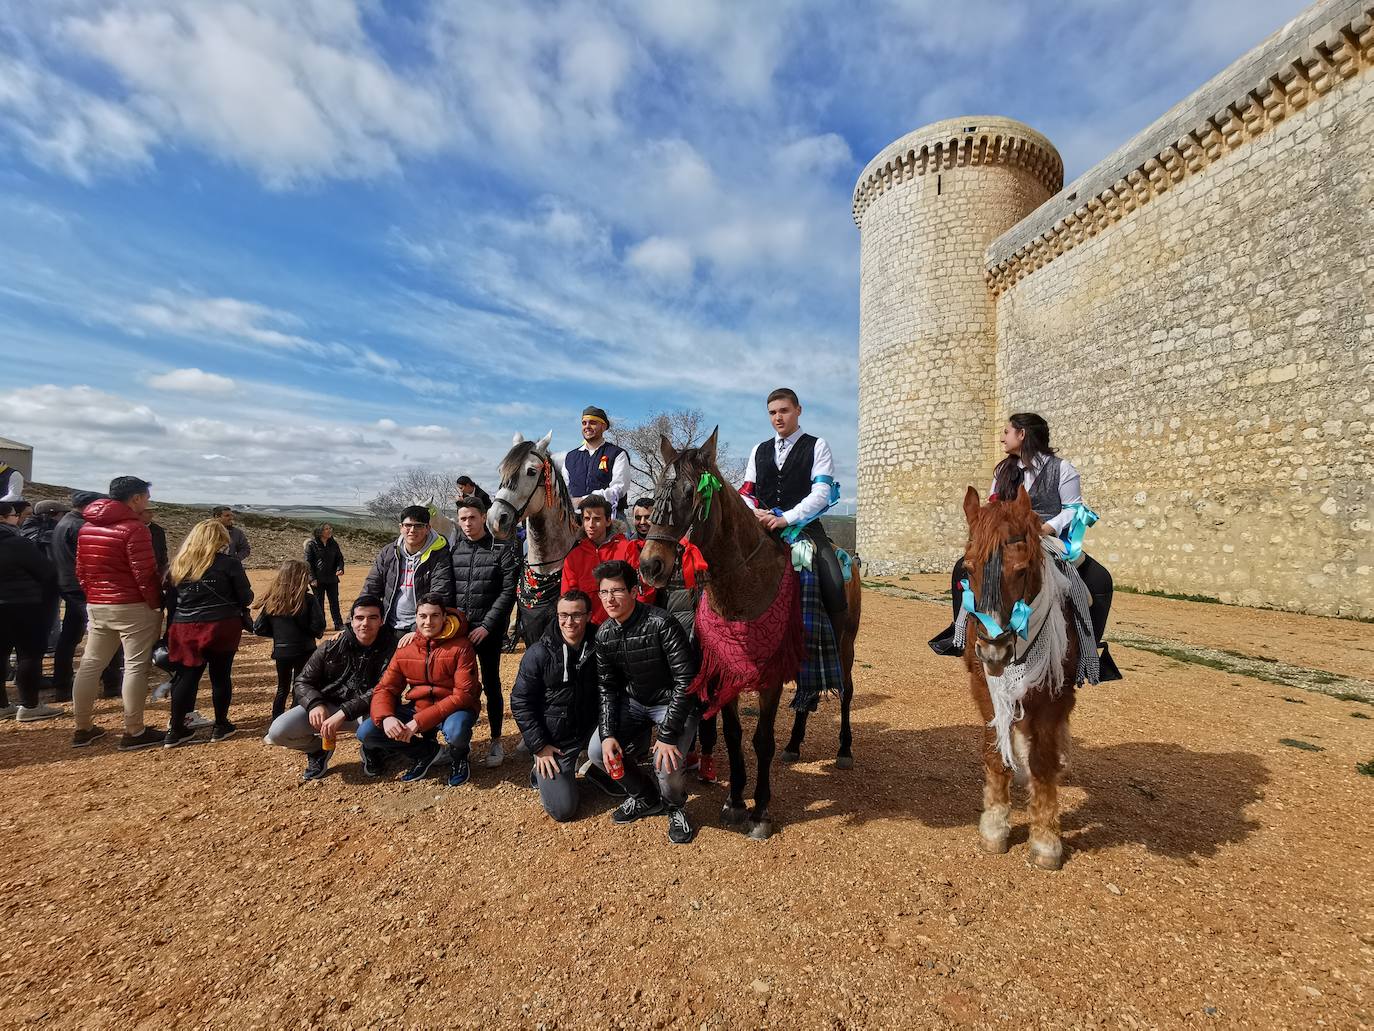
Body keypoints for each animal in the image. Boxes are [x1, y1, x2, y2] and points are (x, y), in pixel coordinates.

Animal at [632, 428, 857, 841]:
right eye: (656, 490)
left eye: (691, 494)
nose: (651, 565)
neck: (745, 581)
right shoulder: (727, 669)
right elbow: (735, 736)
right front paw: (736, 802)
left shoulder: (768, 678)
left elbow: (761, 740)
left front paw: (761, 810)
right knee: (806, 696)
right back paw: (795, 744)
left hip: (845, 646)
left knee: (846, 692)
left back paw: (844, 750)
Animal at [956, 486, 1082, 874]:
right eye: (968, 568)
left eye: (1022, 570)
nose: (993, 651)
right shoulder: (984, 688)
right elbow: (995, 749)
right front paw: (994, 826)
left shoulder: (1054, 694)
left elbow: (1043, 759)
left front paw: (1046, 840)